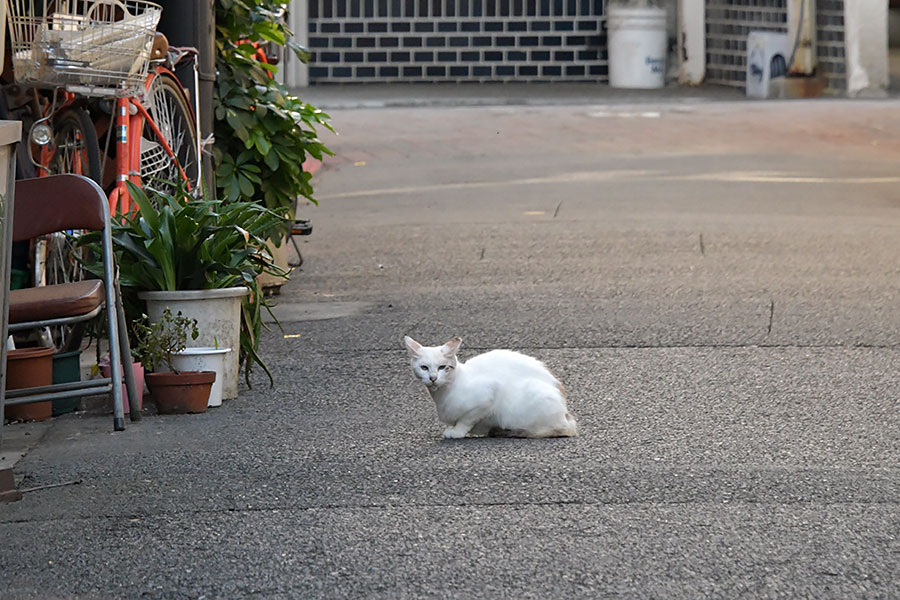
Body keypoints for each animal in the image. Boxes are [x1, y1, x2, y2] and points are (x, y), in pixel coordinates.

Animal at [400, 336, 576, 438]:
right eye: (424, 368)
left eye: (442, 367)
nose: (433, 378)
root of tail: (566, 415)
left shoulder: (488, 395)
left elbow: (466, 420)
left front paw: (457, 432)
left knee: (554, 430)